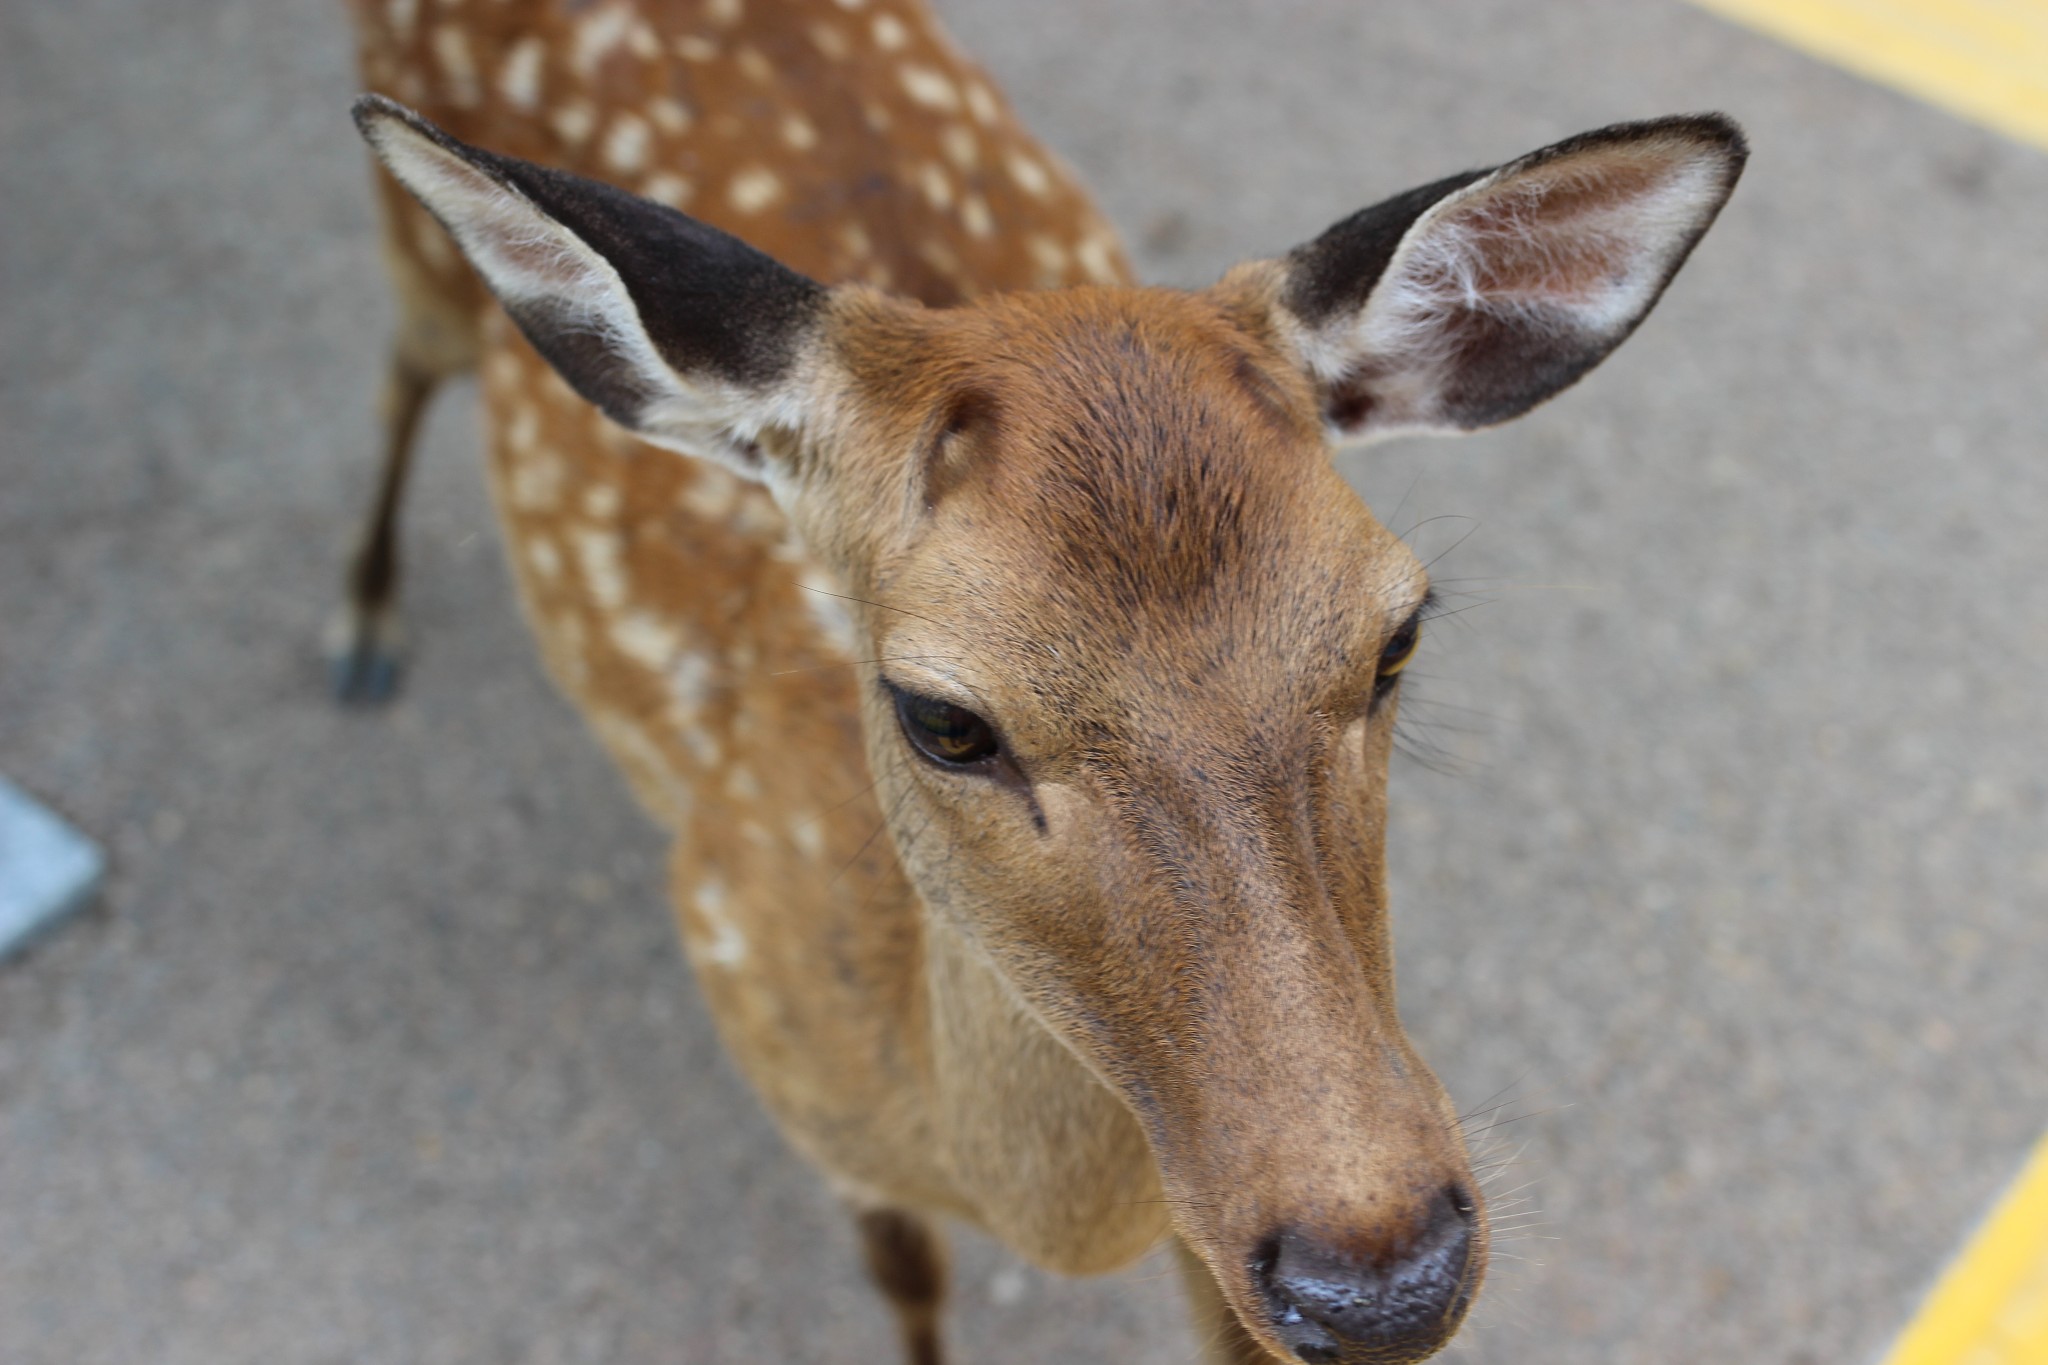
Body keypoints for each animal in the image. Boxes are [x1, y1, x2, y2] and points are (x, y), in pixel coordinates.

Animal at [335, 5, 1744, 1358]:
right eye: (943, 718)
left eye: (1395, 637)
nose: (1383, 1279)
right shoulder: (799, 1081)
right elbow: (910, 1293)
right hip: (417, 266)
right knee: (400, 368)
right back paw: (360, 626)